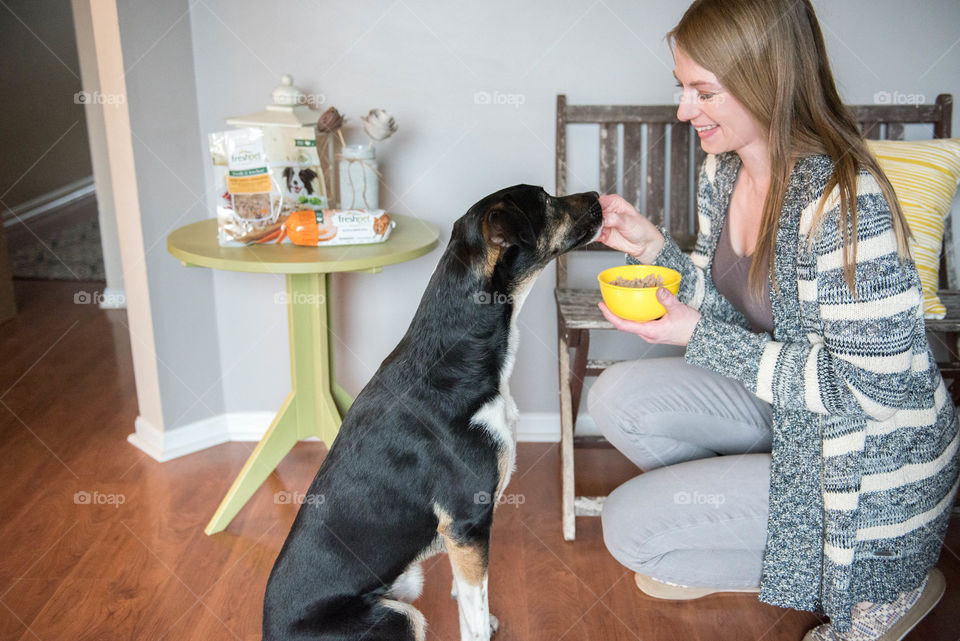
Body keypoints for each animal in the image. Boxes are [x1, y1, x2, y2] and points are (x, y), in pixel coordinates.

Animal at [258, 182, 596, 636]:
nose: (599, 197)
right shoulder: (467, 523)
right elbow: (472, 617)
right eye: (544, 200)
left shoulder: (460, 535)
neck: (458, 356)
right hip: (400, 616)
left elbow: (467, 601)